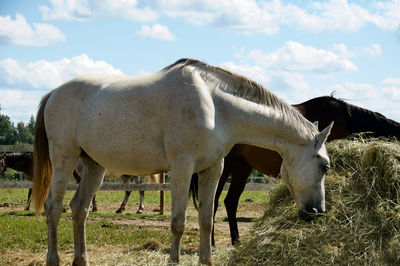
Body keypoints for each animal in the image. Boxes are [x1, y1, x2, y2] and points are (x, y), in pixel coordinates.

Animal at [32, 58, 332, 266]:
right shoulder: (182, 168)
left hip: (95, 166)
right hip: (64, 158)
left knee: (79, 209)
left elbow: (206, 220)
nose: (317, 212)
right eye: (325, 166)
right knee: (53, 208)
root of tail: (53, 93)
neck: (215, 106)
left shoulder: (213, 169)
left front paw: (206, 260)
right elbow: (178, 222)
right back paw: (53, 259)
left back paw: (80, 260)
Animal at [193, 95, 400, 245]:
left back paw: (236, 241)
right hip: (223, 166)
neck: (346, 121)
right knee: (212, 203)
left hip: (241, 167)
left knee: (231, 201)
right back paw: (212, 244)